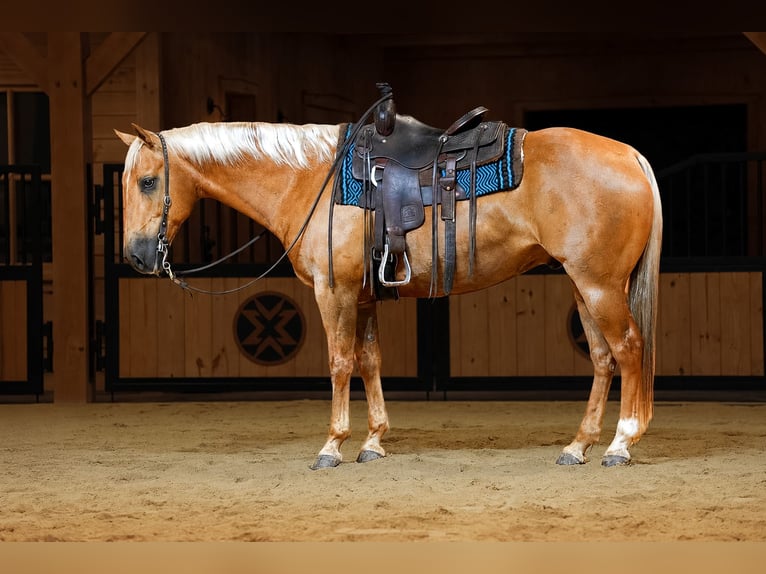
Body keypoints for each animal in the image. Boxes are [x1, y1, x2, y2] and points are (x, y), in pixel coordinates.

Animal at [114, 105, 662, 470]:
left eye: (147, 181)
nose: (137, 257)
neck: (310, 179)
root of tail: (629, 155)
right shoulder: (362, 296)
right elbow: (369, 360)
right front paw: (373, 441)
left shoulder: (333, 293)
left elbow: (339, 362)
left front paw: (332, 445)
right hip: (582, 286)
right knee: (603, 359)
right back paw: (579, 445)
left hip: (599, 286)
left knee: (629, 349)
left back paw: (620, 444)